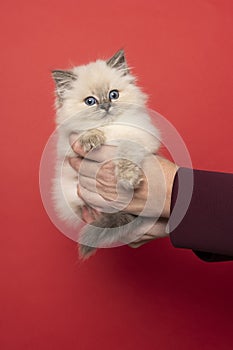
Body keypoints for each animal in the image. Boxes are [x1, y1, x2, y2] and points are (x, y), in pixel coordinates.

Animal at [51, 49, 160, 258]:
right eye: (90, 101)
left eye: (113, 94)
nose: (106, 106)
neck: (109, 128)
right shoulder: (69, 145)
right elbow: (84, 133)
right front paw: (91, 138)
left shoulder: (138, 136)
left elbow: (126, 152)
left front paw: (127, 178)